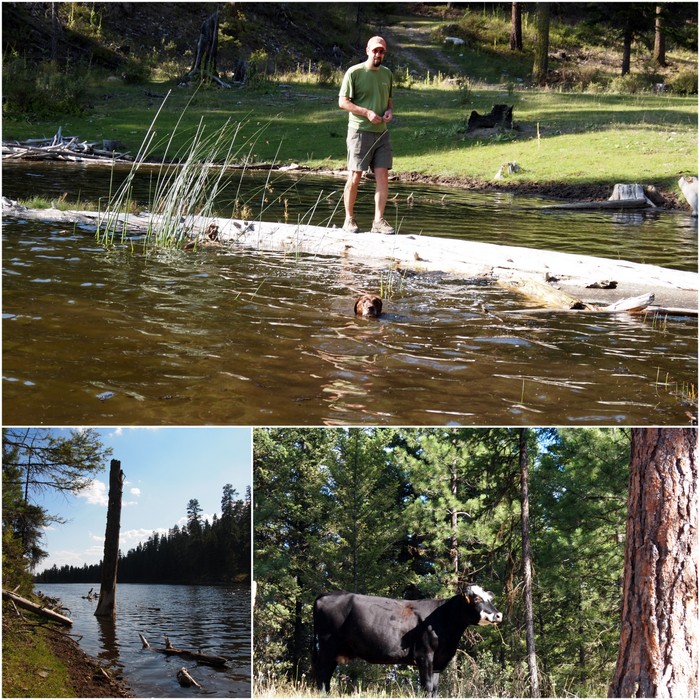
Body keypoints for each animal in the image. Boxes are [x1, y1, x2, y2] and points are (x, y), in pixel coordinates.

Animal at [314, 584, 504, 696]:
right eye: (477, 599)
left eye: (490, 599)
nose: (498, 615)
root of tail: (326, 595)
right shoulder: (424, 655)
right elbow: (427, 686)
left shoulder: (438, 661)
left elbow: (435, 689)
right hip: (327, 645)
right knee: (321, 673)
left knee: (326, 674)